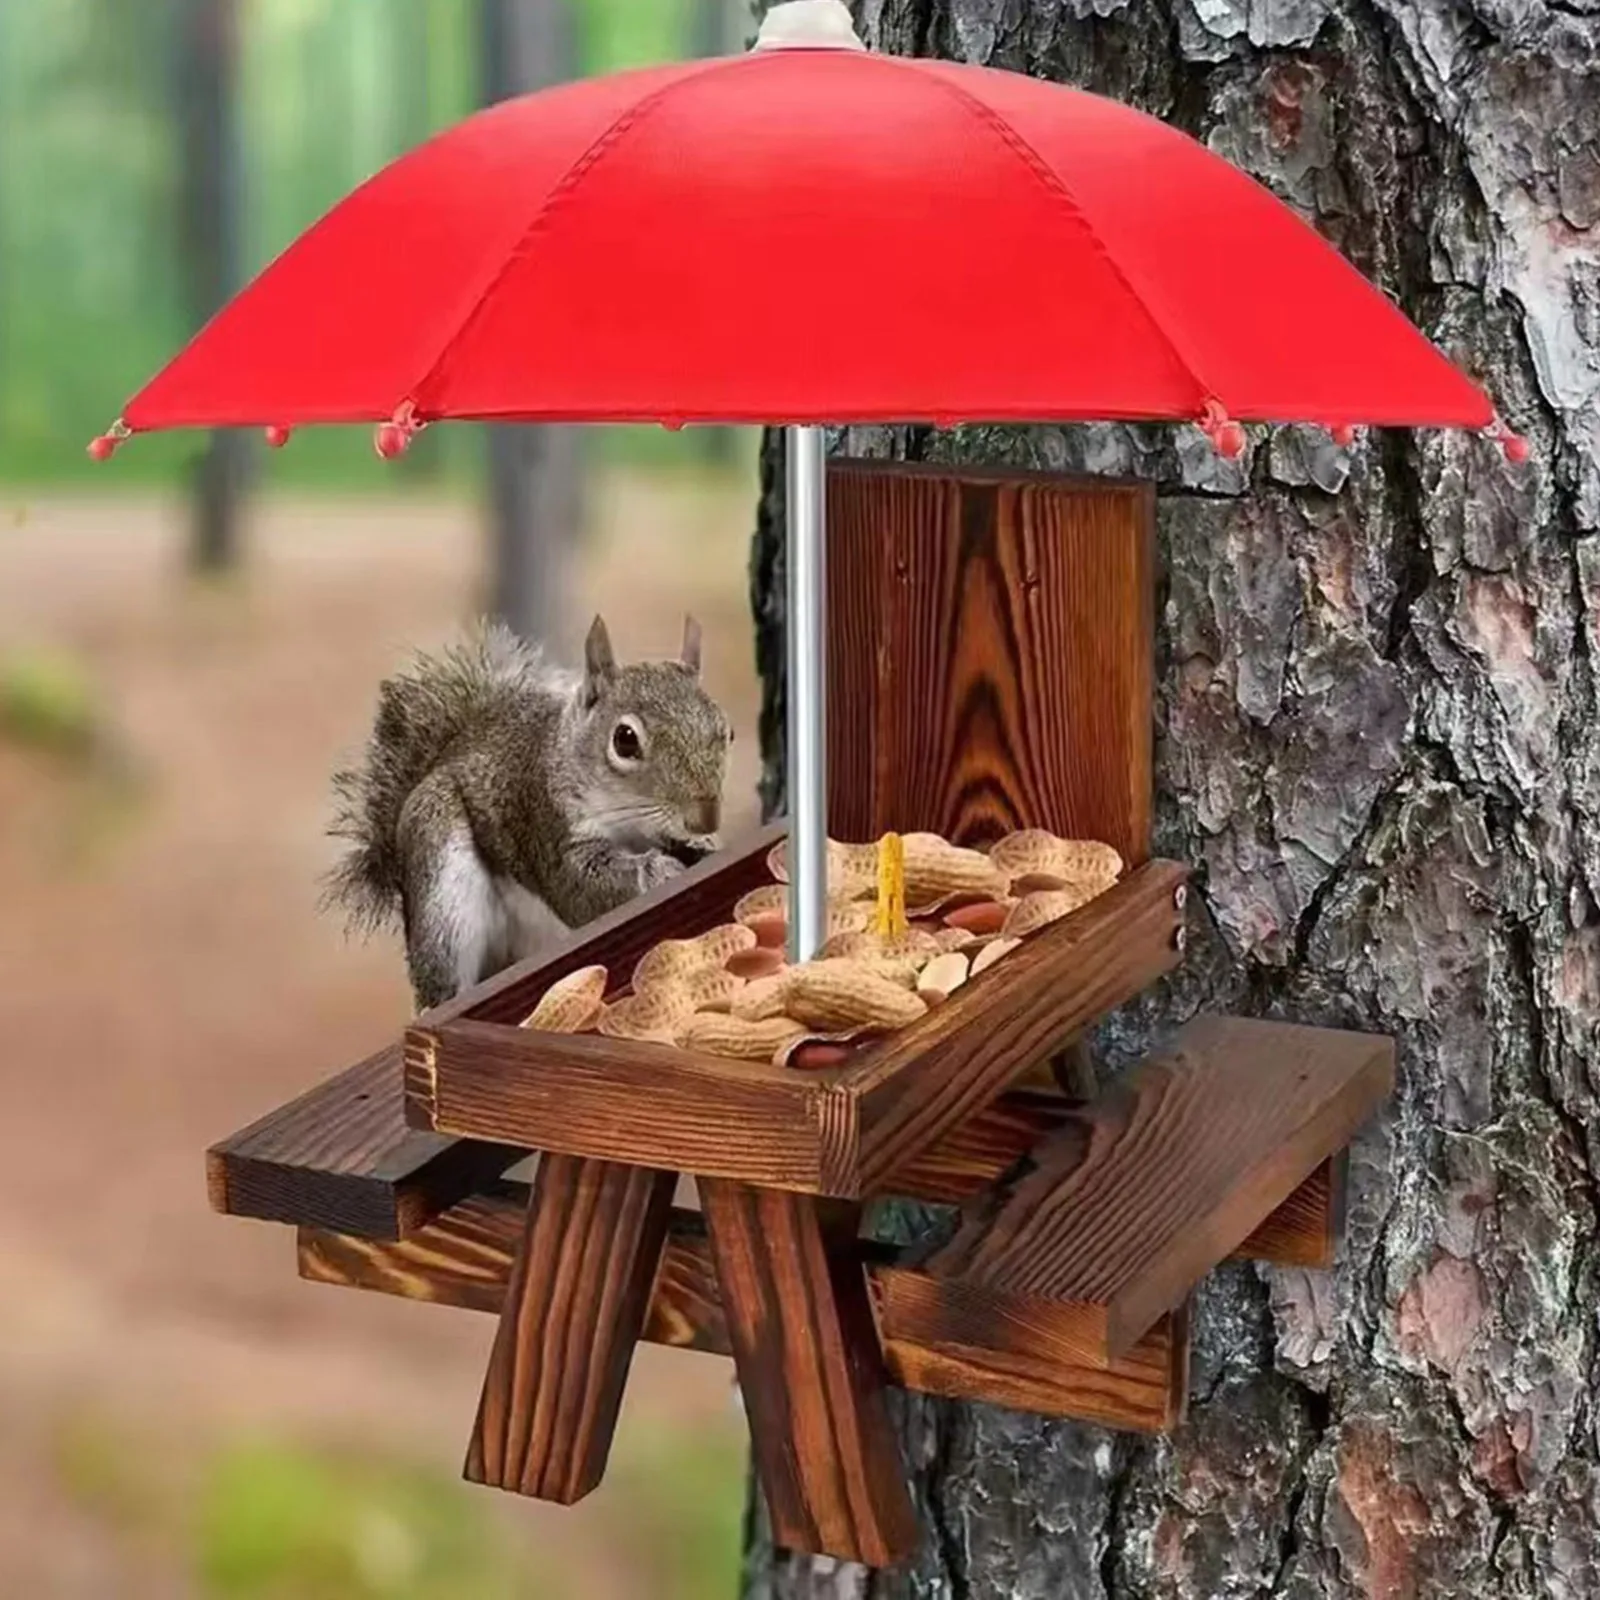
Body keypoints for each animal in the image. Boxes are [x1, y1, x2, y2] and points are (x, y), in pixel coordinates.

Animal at [323, 613, 732, 1012]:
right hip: (440, 878)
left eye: (726, 731)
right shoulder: (546, 823)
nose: (705, 819)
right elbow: (582, 888)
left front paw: (702, 848)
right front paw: (660, 869)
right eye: (625, 740)